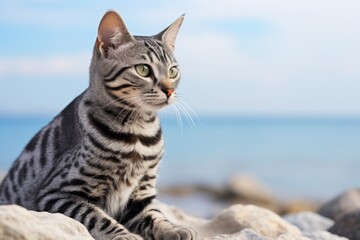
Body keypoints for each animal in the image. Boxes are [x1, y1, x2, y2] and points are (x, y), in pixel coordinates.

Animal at [0, 10, 200, 239]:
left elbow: (155, 215)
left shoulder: (142, 193)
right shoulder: (58, 193)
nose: (169, 90)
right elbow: (97, 217)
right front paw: (124, 235)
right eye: (143, 70)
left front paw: (173, 228)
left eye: (173, 71)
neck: (138, 132)